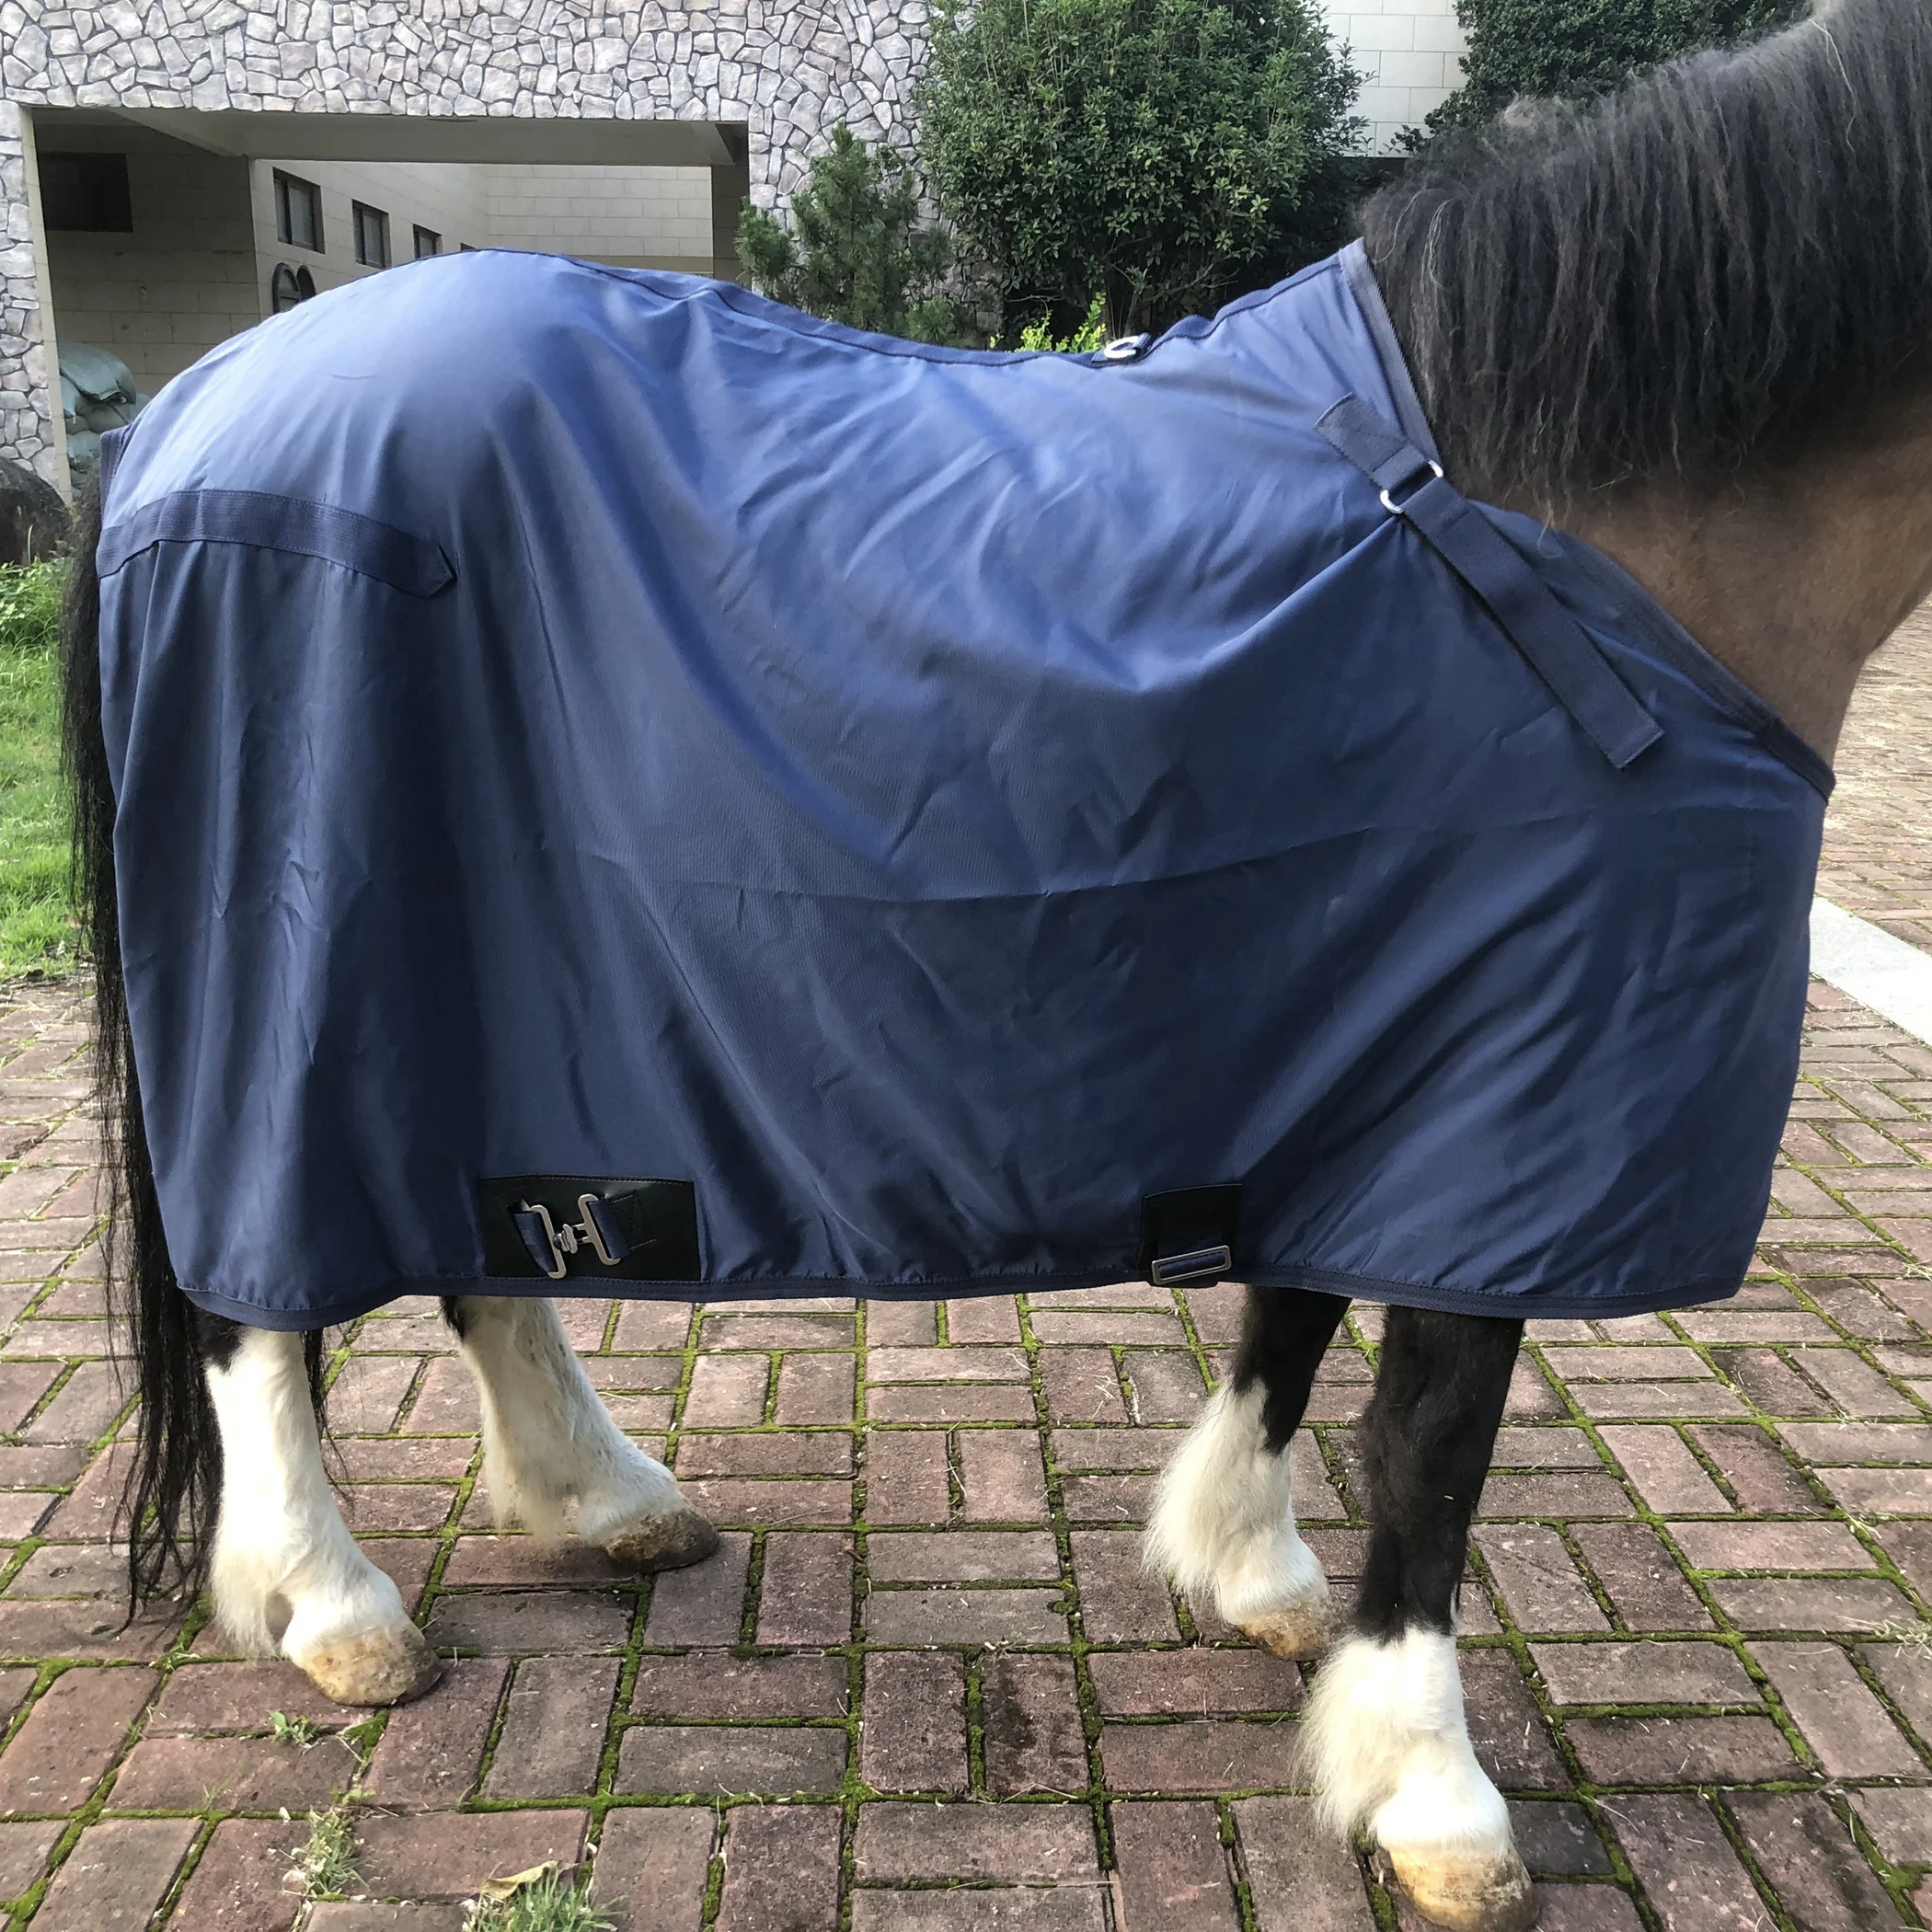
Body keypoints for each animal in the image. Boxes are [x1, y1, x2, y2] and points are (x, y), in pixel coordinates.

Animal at [58, 5, 1932, 1929]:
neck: (1547, 523)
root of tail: (187, 415)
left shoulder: (1359, 1036)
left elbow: (1293, 1319)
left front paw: (1250, 1575)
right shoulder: (1511, 1092)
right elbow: (1433, 1441)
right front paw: (1431, 1789)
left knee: (480, 1258)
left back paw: (600, 1500)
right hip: (286, 999)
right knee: (255, 1302)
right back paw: (337, 1608)